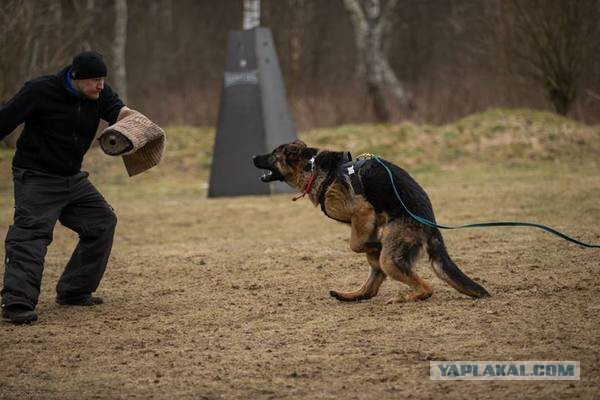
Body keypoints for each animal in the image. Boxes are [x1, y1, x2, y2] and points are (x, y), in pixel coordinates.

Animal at [251, 141, 490, 304]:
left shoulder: (362, 211)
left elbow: (354, 244)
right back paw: (350, 295)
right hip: (385, 260)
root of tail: (431, 225)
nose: (253, 156)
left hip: (390, 258)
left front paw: (374, 245)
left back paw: (403, 296)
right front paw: (373, 245)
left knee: (425, 287)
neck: (311, 168)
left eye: (273, 154)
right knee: (372, 285)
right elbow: (361, 244)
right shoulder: (369, 222)